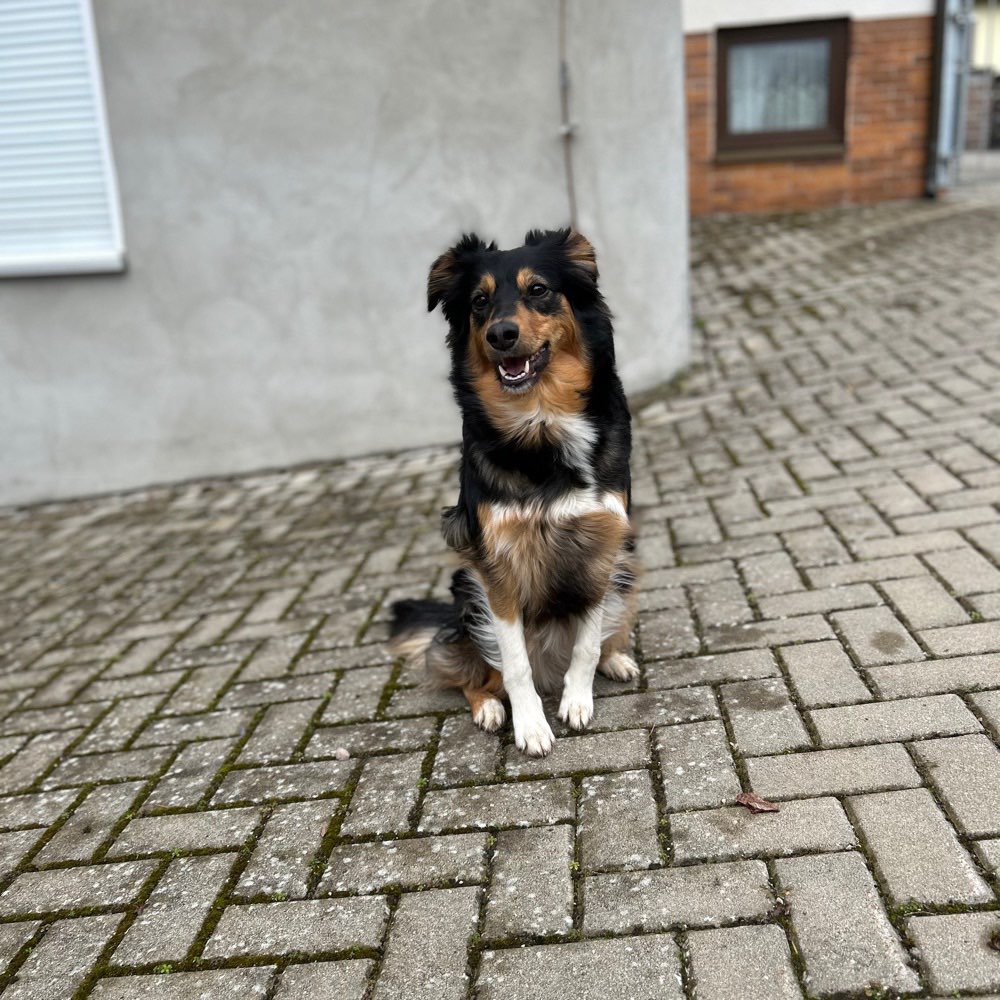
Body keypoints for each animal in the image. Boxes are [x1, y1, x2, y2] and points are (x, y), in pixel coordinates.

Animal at [386, 229, 636, 756]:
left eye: (538, 289)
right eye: (479, 302)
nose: (501, 334)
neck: (540, 424)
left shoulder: (602, 546)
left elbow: (587, 642)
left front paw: (577, 700)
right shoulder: (495, 566)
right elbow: (514, 662)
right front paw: (531, 726)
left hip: (626, 571)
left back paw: (615, 658)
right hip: (466, 588)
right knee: (473, 671)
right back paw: (489, 706)